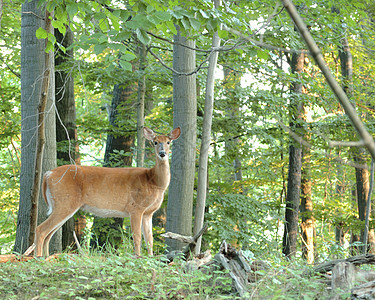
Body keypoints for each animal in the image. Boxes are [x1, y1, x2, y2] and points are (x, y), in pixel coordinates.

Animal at [26, 127, 181, 258]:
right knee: (41, 229)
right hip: (65, 202)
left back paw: (48, 257)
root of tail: (47, 174)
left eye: (168, 142)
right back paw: (38, 258)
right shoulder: (135, 207)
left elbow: (150, 238)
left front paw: (150, 258)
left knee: (48, 234)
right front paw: (138, 257)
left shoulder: (148, 213)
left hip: (62, 205)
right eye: (155, 142)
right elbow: (137, 236)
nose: (162, 153)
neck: (154, 182)